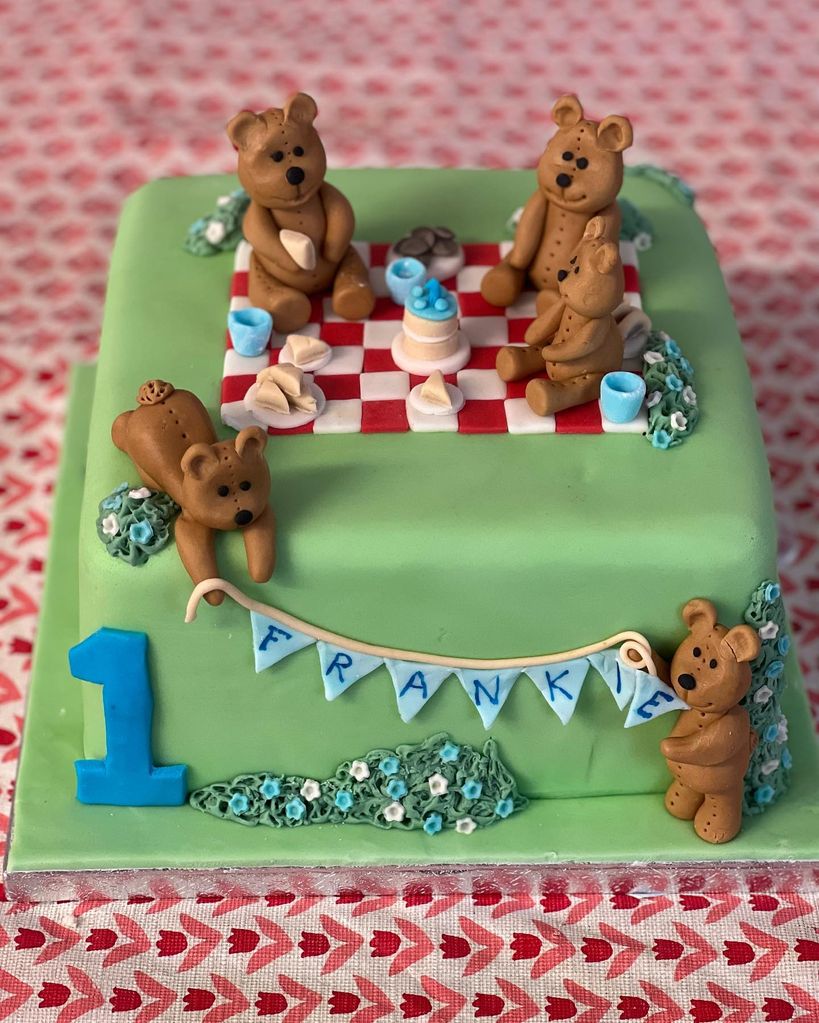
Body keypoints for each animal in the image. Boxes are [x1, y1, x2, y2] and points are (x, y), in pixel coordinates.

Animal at [110, 384, 276, 605]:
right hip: (137, 453)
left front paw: (259, 572)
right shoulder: (189, 524)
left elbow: (262, 542)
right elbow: (196, 555)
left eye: (246, 485)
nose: (242, 517)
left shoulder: (260, 510)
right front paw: (214, 592)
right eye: (221, 491)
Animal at [226, 91, 374, 331]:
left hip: (351, 256)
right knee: (269, 290)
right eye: (276, 156)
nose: (295, 174)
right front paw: (291, 262)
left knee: (352, 271)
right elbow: (257, 231)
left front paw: (330, 250)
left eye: (299, 150)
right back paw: (288, 305)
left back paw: (352, 298)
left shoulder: (328, 193)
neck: (297, 208)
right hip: (257, 269)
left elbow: (343, 213)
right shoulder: (256, 212)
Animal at [478, 94, 633, 382]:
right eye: (566, 155)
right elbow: (527, 231)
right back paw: (499, 283)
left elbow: (608, 225)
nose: (562, 178)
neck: (568, 212)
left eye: (583, 164)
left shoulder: (610, 212)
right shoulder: (539, 200)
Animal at [494, 216, 621, 415]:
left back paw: (540, 391)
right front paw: (532, 337)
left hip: (595, 377)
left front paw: (551, 352)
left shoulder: (599, 324)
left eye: (578, 270)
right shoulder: (561, 305)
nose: (561, 274)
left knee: (576, 386)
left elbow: (582, 343)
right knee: (537, 350)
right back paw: (509, 358)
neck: (575, 312)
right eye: (572, 260)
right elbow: (539, 326)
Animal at [658, 597, 760, 842]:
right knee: (685, 791)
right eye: (695, 651)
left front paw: (669, 746)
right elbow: (664, 675)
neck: (703, 713)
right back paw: (675, 807)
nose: (686, 680)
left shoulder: (734, 724)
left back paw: (714, 830)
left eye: (714, 664)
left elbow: (709, 744)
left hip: (725, 790)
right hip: (687, 784)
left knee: (721, 805)